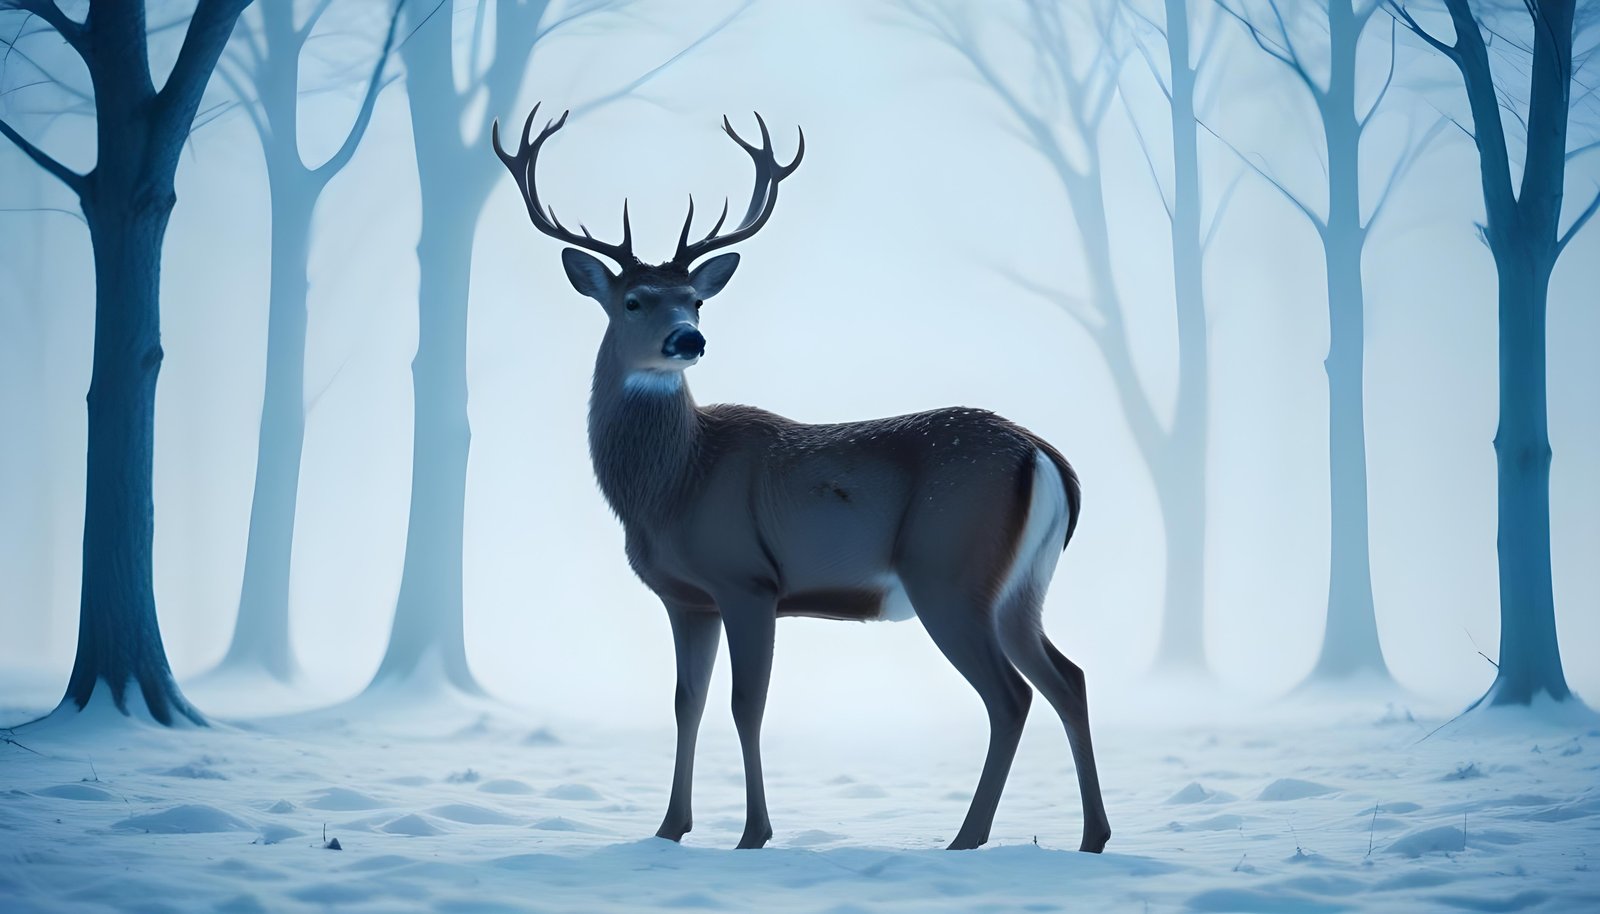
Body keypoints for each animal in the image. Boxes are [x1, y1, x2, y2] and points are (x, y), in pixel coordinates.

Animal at [491, 105, 1110, 854]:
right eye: (635, 300)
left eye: (695, 300)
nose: (688, 339)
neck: (673, 486)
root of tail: (1044, 455)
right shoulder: (687, 599)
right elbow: (686, 703)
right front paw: (669, 829)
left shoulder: (747, 580)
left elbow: (745, 704)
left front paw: (753, 834)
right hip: (1020, 586)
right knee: (1068, 678)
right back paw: (1091, 836)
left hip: (949, 571)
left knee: (1010, 696)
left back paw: (966, 839)